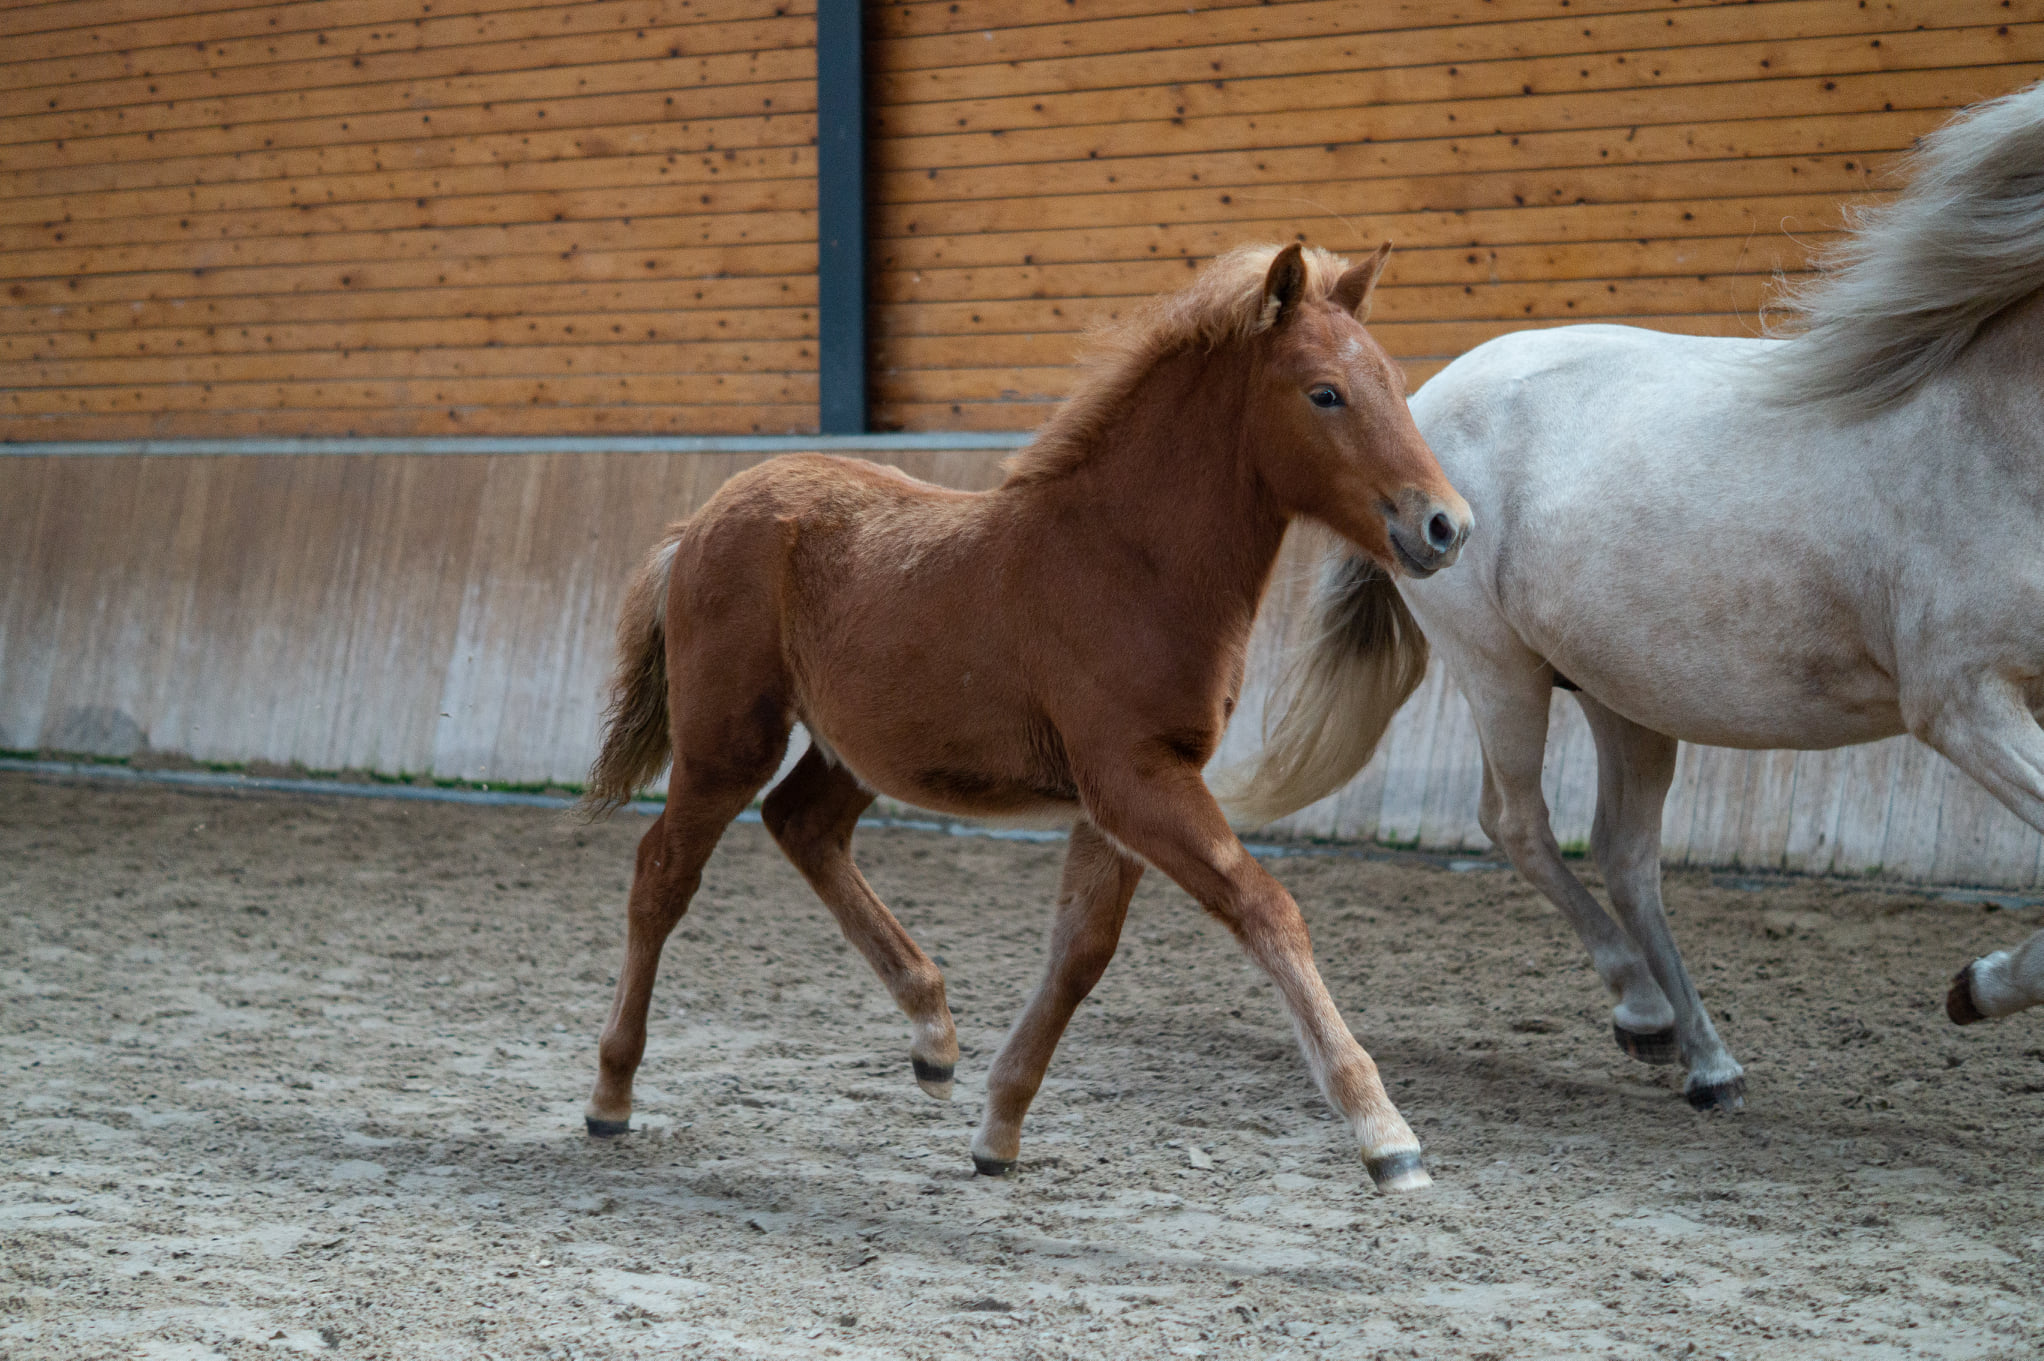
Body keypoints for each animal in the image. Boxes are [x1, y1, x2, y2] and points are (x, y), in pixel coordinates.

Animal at [576, 244, 1471, 1185]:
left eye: (1395, 379)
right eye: (1325, 392)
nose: (1446, 524)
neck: (1127, 560)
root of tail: (700, 519)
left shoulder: (1128, 789)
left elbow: (1081, 948)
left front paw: (998, 1128)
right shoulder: (1133, 777)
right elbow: (1264, 907)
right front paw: (1386, 1134)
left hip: (864, 745)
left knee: (801, 823)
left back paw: (934, 1038)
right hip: (728, 740)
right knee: (662, 873)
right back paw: (610, 1095)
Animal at [1234, 82, 2043, 1103]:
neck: (1989, 431)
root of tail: (1421, 407)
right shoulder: (1964, 702)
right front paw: (1977, 985)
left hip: (1625, 693)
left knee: (1625, 856)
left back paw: (1705, 1058)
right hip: (1499, 668)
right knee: (1520, 823)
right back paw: (1647, 1012)